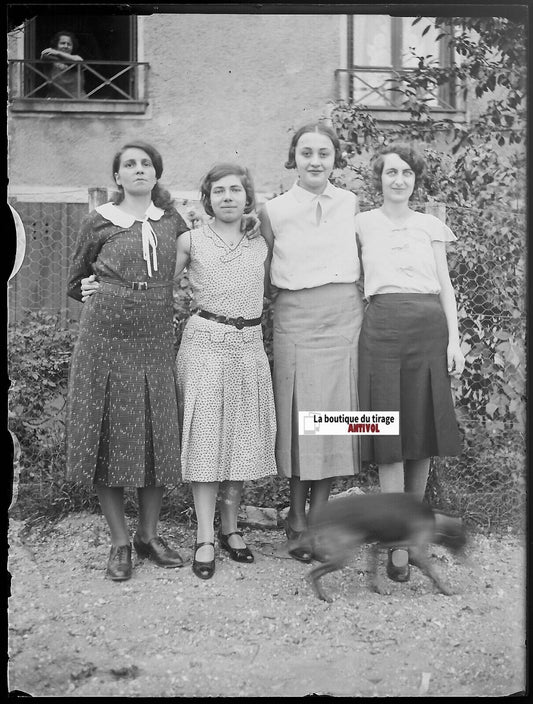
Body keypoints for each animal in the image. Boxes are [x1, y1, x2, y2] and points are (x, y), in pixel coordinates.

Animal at [304, 492, 466, 604]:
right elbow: (433, 572)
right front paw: (446, 589)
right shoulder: (415, 548)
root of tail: (319, 515)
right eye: (464, 540)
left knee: (313, 573)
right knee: (313, 573)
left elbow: (374, 561)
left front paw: (377, 587)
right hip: (342, 556)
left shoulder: (383, 544)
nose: (465, 557)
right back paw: (323, 596)